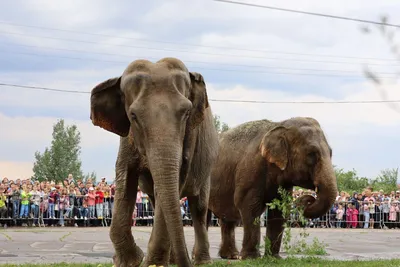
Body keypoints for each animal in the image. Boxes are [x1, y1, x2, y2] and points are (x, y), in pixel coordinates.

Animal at [90, 57, 219, 266]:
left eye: (186, 112)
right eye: (133, 115)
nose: (186, 263)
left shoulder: (190, 138)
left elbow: (174, 182)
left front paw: (151, 263)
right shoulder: (127, 138)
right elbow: (125, 177)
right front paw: (131, 261)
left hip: (207, 169)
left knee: (199, 208)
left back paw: (202, 261)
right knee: (156, 199)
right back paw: (173, 260)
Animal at [209, 116, 338, 260]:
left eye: (331, 153)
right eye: (312, 154)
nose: (308, 199)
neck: (278, 125)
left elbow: (280, 211)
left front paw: (273, 258)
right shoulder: (250, 170)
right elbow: (249, 206)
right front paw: (252, 258)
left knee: (227, 218)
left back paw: (231, 256)